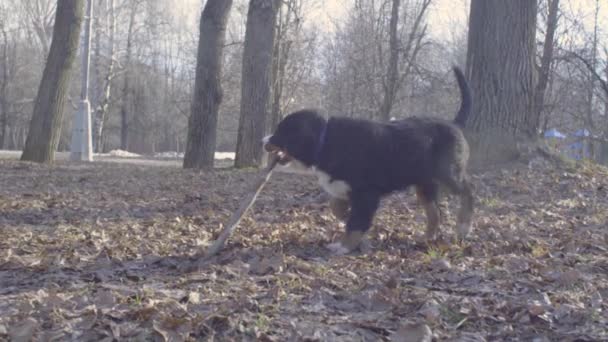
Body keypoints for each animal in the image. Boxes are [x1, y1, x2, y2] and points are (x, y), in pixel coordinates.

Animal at [264, 67, 472, 255]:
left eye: (280, 131)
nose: (263, 141)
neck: (326, 141)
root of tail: (453, 124)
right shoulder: (345, 187)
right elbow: (338, 208)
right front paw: (353, 229)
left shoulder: (366, 193)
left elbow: (355, 223)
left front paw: (344, 246)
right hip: (425, 184)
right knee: (435, 212)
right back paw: (426, 238)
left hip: (448, 173)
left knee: (468, 191)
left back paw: (463, 226)